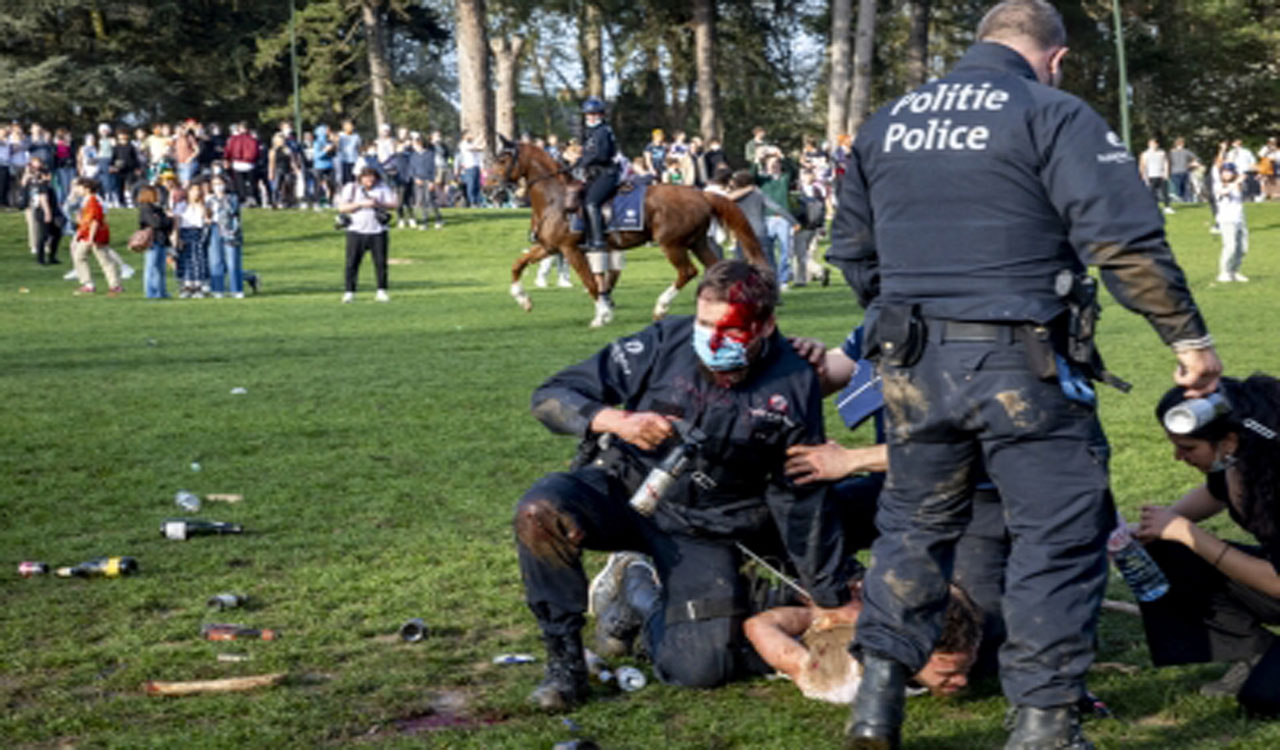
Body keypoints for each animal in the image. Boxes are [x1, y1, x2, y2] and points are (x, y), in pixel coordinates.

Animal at [486, 135, 762, 327]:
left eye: (502, 160)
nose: (489, 189)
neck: (555, 198)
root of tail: (701, 193)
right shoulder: (549, 247)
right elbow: (518, 264)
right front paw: (523, 299)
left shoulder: (570, 249)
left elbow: (590, 283)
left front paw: (602, 315)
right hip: (697, 242)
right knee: (715, 269)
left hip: (672, 244)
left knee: (687, 272)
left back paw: (661, 307)